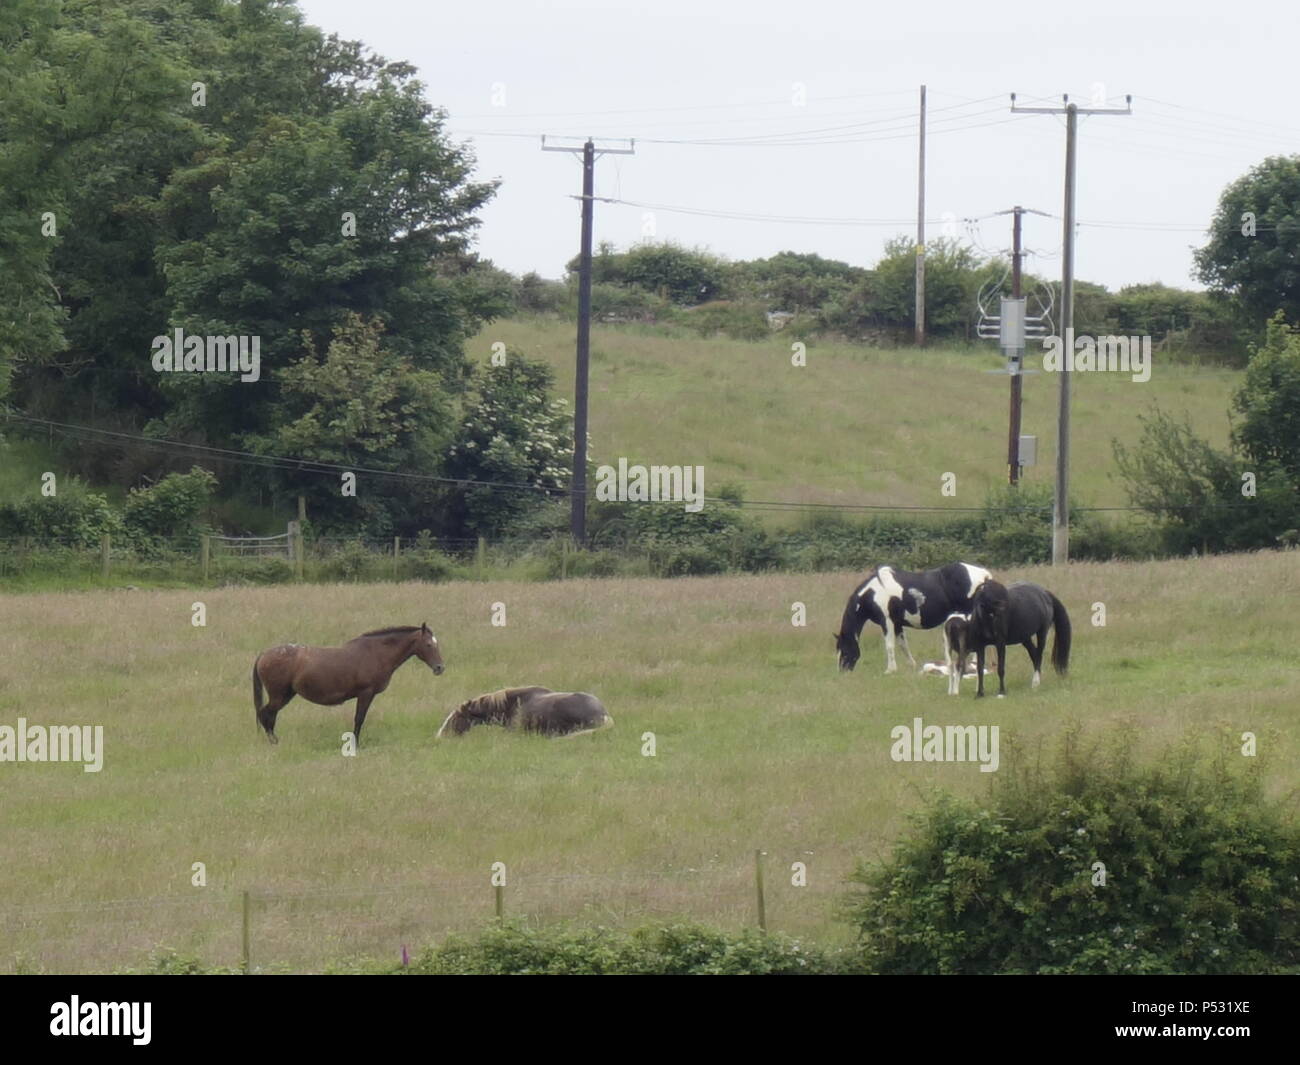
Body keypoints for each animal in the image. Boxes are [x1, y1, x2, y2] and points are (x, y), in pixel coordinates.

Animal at [253, 621, 447, 743]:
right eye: (429, 645)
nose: (440, 668)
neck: (376, 653)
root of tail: (263, 654)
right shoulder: (365, 693)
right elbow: (359, 719)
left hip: (286, 695)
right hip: (279, 695)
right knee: (265, 714)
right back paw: (273, 741)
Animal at [832, 566, 993, 676]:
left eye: (845, 652)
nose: (842, 672)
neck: (874, 593)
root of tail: (984, 575)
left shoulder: (887, 622)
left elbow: (889, 646)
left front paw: (890, 670)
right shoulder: (897, 624)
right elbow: (903, 645)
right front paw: (912, 665)